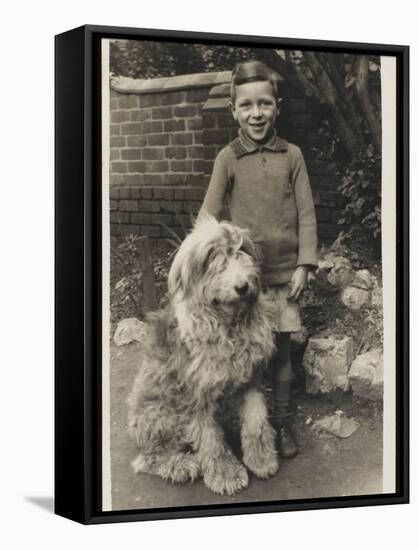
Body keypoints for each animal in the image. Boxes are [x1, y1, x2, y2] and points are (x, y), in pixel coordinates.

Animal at [127, 215, 278, 496]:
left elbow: (256, 419)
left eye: (241, 251)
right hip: (161, 415)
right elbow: (210, 439)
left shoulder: (250, 378)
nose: (243, 286)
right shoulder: (196, 396)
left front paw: (261, 459)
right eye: (212, 260)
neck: (228, 326)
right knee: (147, 459)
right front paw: (225, 474)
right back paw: (182, 465)